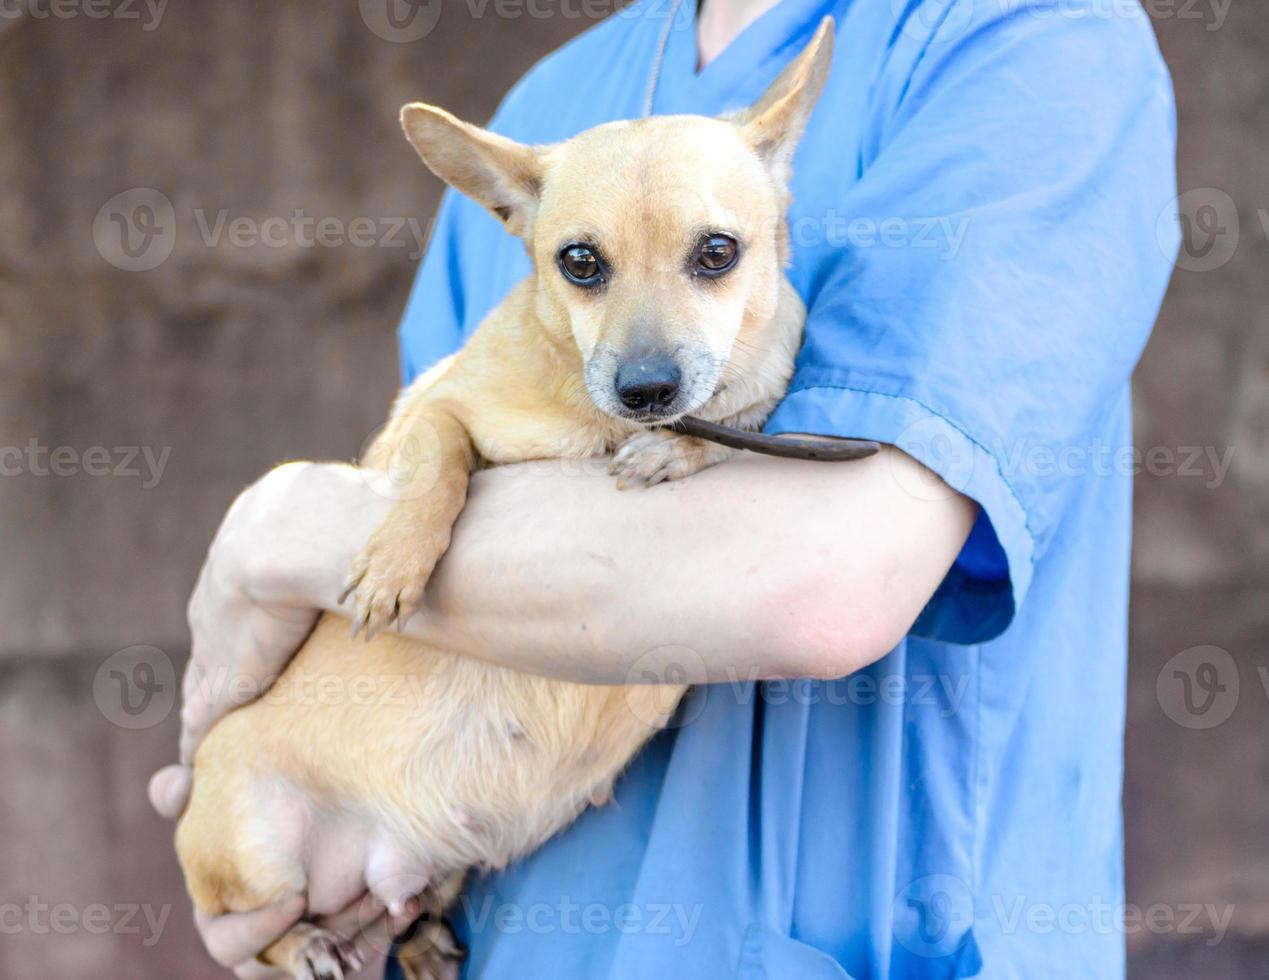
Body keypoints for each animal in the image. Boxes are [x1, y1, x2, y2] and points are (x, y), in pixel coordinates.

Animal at [176, 19, 832, 974]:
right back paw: (307, 946)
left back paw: (417, 943)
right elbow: (439, 465)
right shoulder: (430, 412)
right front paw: (396, 562)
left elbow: (732, 421)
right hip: (252, 849)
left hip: (421, 874)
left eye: (718, 253)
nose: (645, 389)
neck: (588, 414)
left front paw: (672, 450)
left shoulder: (753, 403)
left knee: (401, 909)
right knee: (266, 934)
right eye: (579, 263)